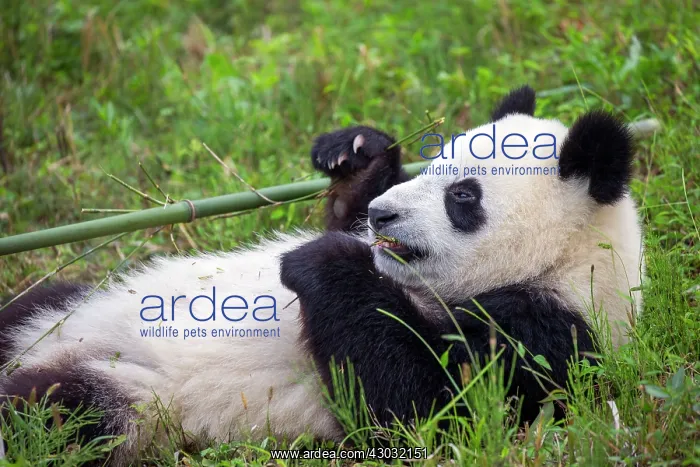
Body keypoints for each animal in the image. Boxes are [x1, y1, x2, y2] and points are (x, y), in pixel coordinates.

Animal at [0, 86, 646, 465]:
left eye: (463, 195)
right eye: (432, 164)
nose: (383, 215)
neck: (565, 257)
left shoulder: (544, 331)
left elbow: (426, 413)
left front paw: (326, 259)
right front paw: (357, 153)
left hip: (140, 398)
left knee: (51, 414)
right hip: (66, 308)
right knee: (29, 313)